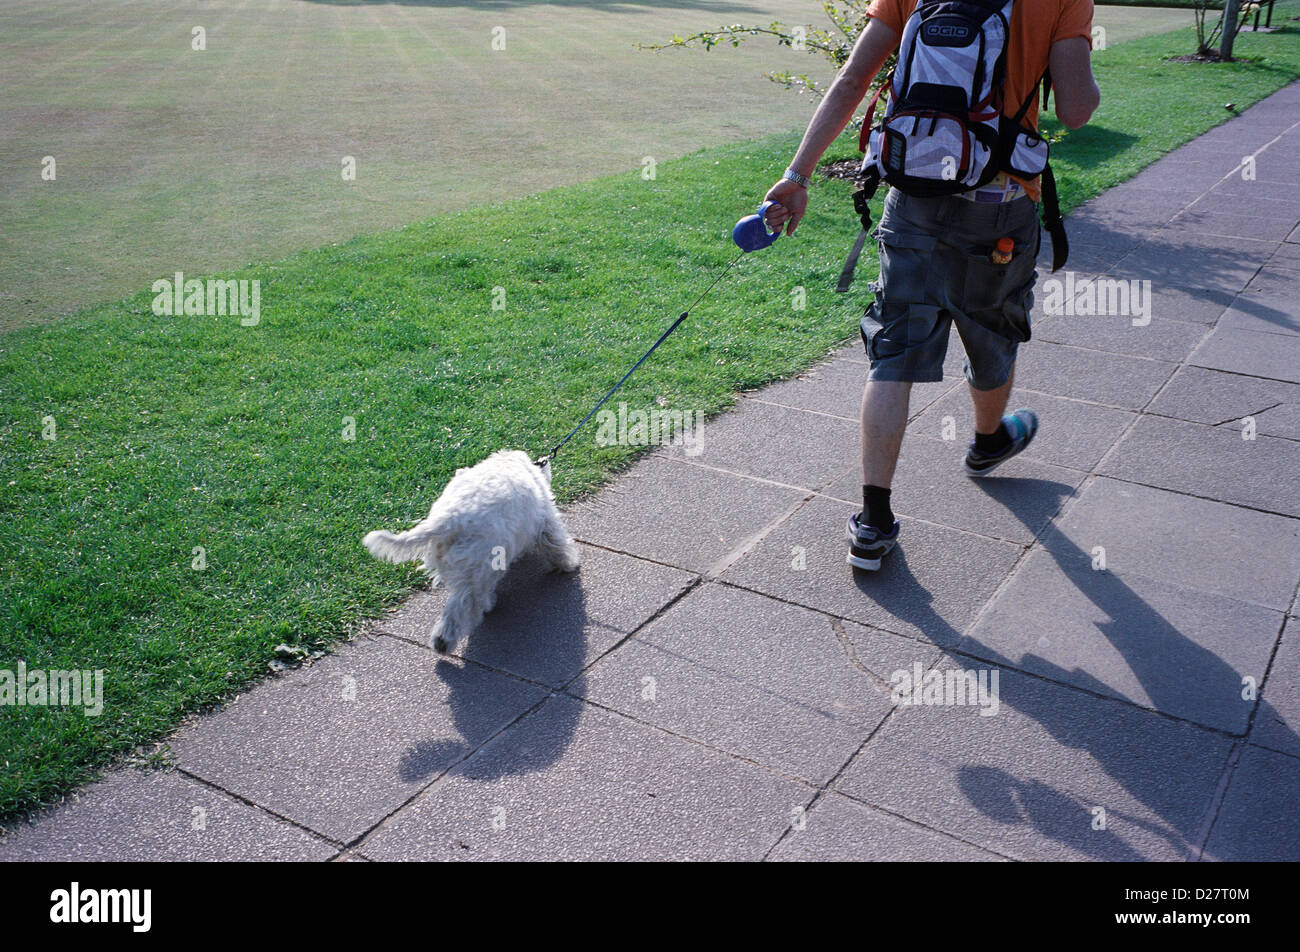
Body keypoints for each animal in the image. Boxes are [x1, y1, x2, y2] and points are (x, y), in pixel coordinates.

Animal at [358, 449, 577, 650]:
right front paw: (568, 564)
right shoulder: (545, 520)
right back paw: (450, 637)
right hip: (478, 568)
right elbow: (556, 543)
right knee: (464, 604)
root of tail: (448, 521)